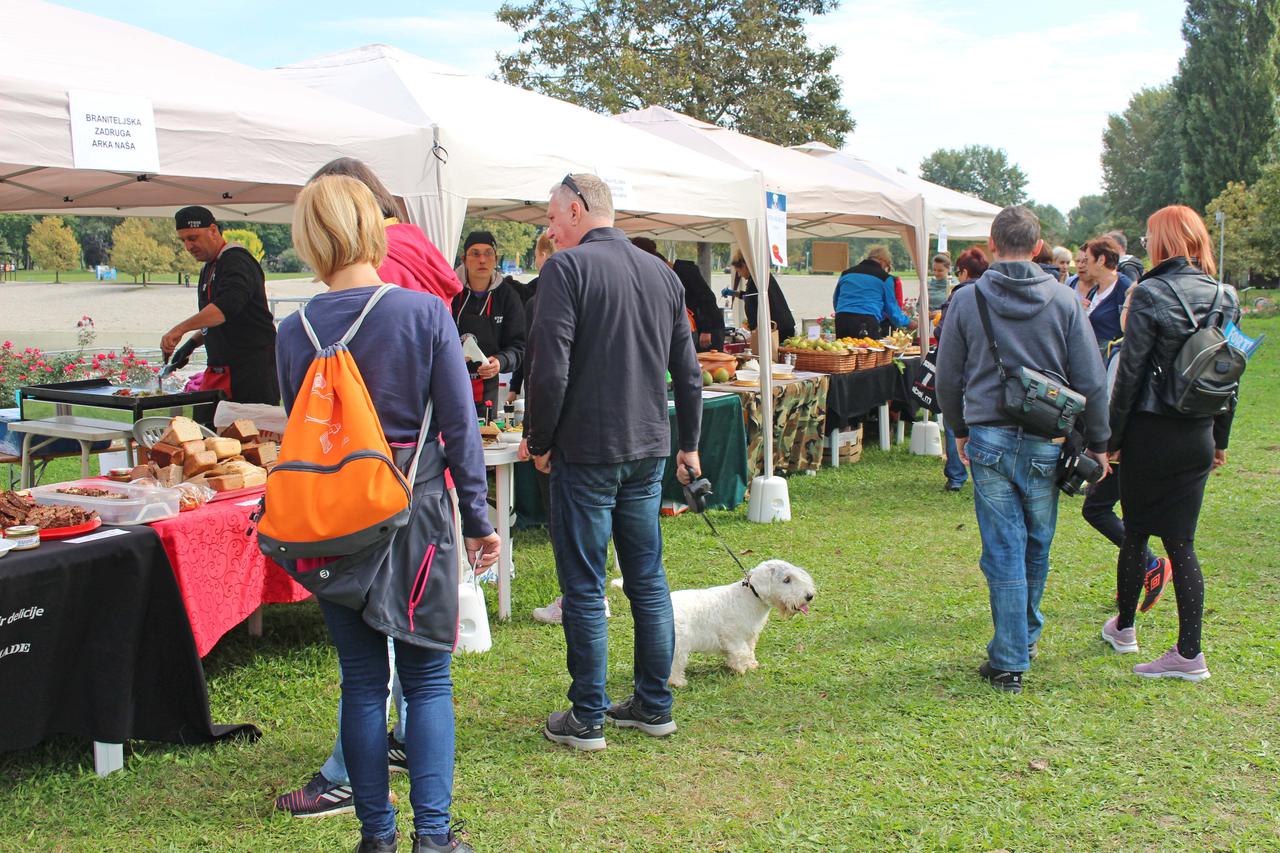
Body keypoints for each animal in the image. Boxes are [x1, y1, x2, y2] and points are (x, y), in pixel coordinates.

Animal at [609, 558, 808, 686]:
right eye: (786, 580)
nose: (809, 596)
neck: (751, 597)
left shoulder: (750, 635)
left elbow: (749, 651)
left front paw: (750, 665)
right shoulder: (733, 636)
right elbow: (741, 652)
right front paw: (741, 669)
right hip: (678, 646)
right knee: (674, 666)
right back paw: (678, 682)